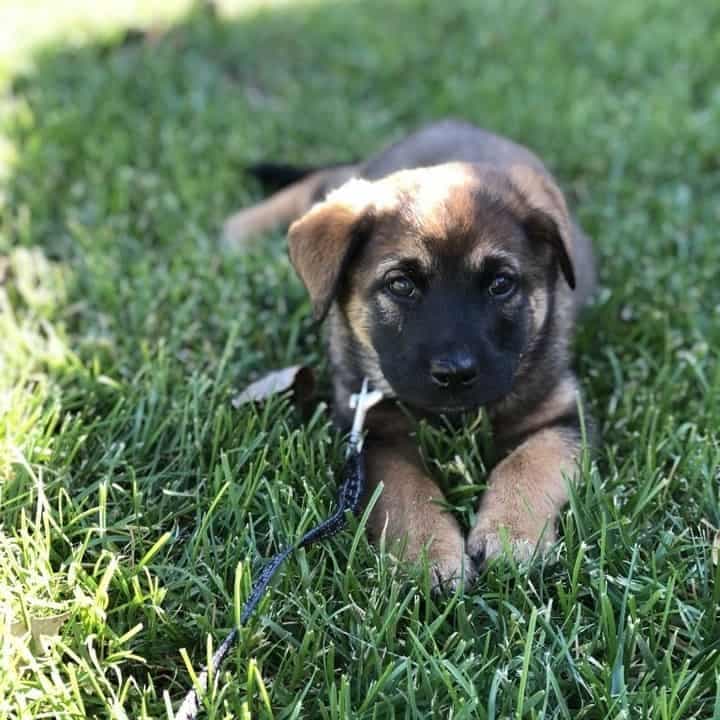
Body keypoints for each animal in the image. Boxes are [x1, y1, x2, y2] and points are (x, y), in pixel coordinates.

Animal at [225, 119, 596, 584]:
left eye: (501, 284)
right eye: (401, 284)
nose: (455, 373)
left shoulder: (563, 414)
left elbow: (529, 462)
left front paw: (511, 534)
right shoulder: (372, 432)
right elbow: (406, 487)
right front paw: (430, 551)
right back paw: (242, 225)